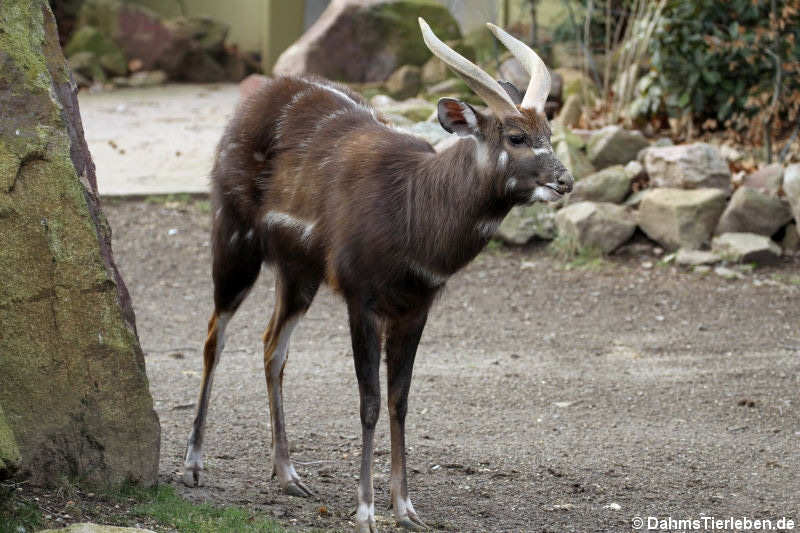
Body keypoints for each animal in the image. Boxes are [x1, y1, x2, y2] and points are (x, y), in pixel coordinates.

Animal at [183, 17, 568, 532]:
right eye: (516, 137)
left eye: (549, 128)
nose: (565, 180)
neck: (414, 211)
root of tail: (257, 96)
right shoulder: (360, 298)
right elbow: (368, 400)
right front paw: (365, 510)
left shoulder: (416, 306)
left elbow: (399, 400)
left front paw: (406, 509)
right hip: (234, 239)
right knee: (214, 335)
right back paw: (193, 465)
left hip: (298, 272)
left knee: (271, 345)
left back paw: (289, 475)